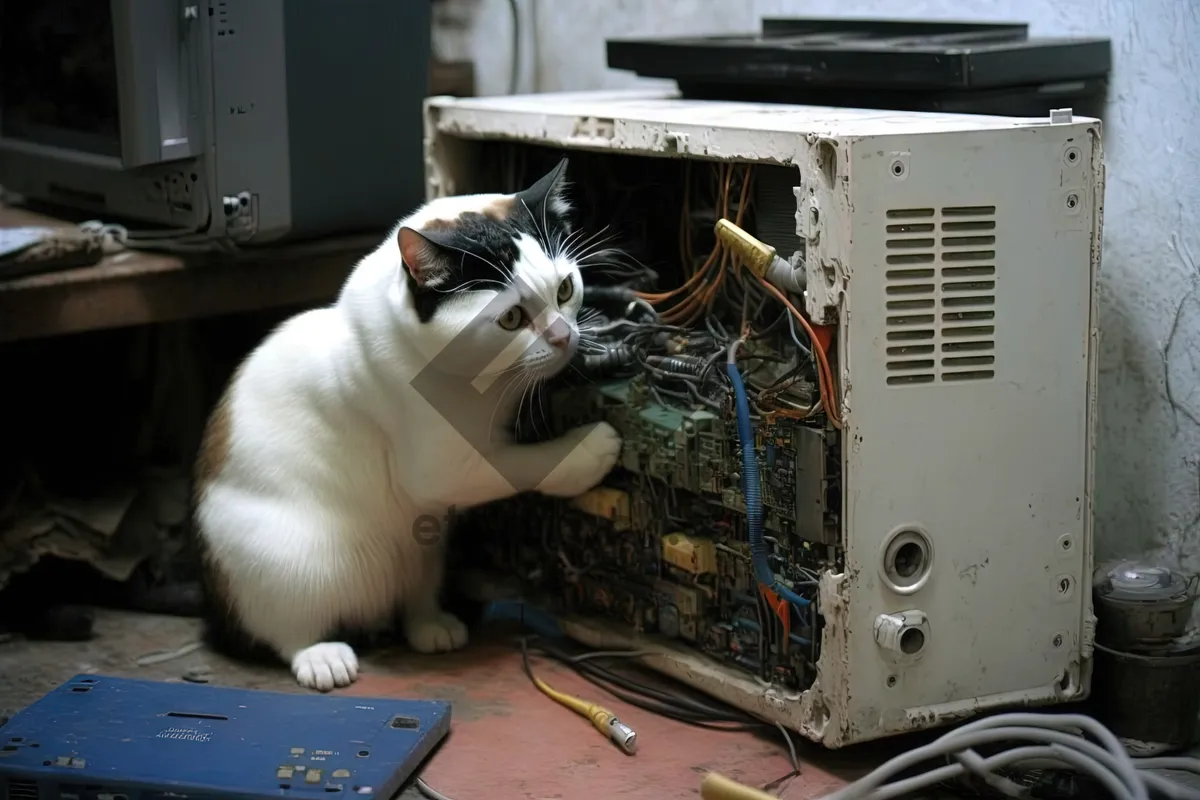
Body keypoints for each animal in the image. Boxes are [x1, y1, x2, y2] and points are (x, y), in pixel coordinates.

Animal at [192, 159, 624, 690]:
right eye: (511, 318)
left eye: (564, 290)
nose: (564, 337)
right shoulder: (442, 470)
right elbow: (517, 466)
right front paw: (587, 451)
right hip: (287, 568)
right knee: (283, 632)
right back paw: (321, 657)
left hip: (422, 548)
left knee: (412, 593)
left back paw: (430, 625)